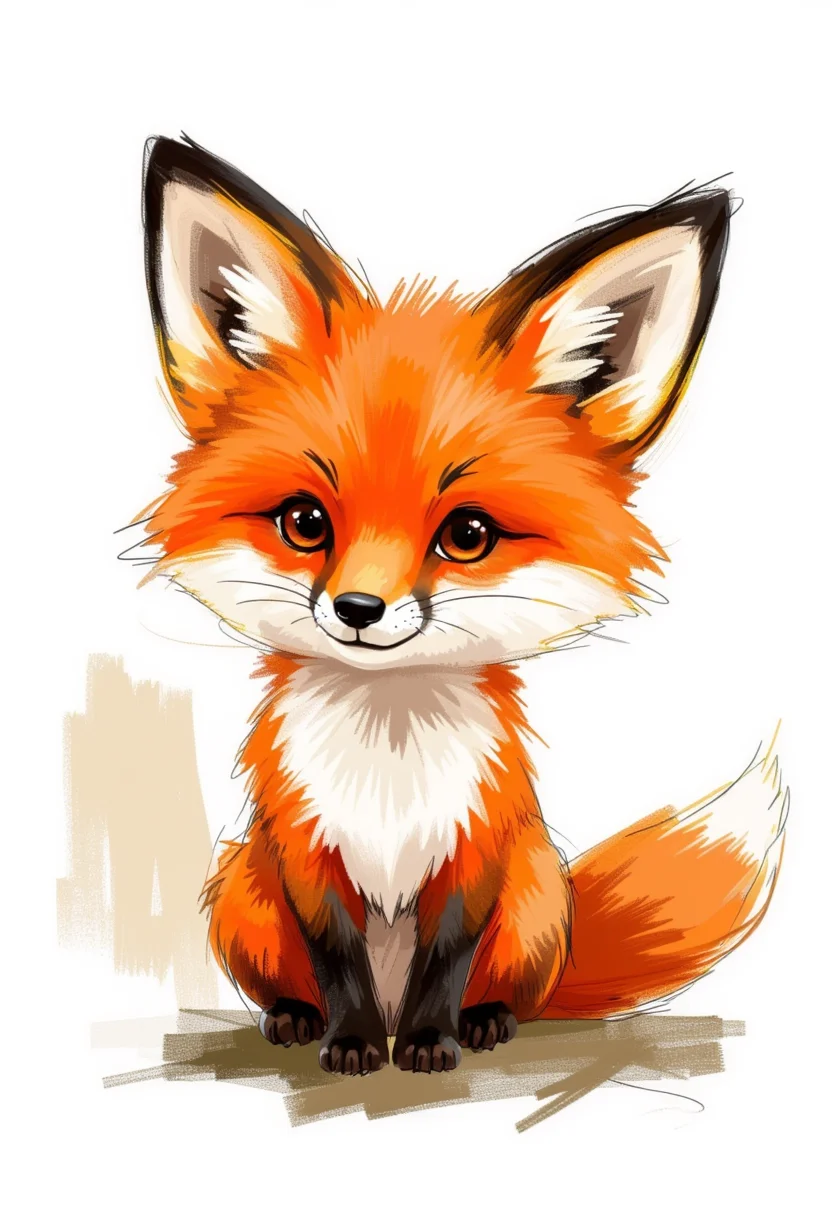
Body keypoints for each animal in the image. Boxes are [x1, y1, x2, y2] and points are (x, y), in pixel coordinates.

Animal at [137, 135, 787, 1076]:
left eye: (468, 534)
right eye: (305, 522)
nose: (358, 608)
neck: (386, 758)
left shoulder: (478, 850)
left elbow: (447, 955)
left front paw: (431, 1041)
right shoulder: (303, 852)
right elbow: (338, 960)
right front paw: (353, 1041)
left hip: (537, 894)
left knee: (511, 988)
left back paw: (487, 1021)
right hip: (240, 891)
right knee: (288, 979)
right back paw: (293, 1018)